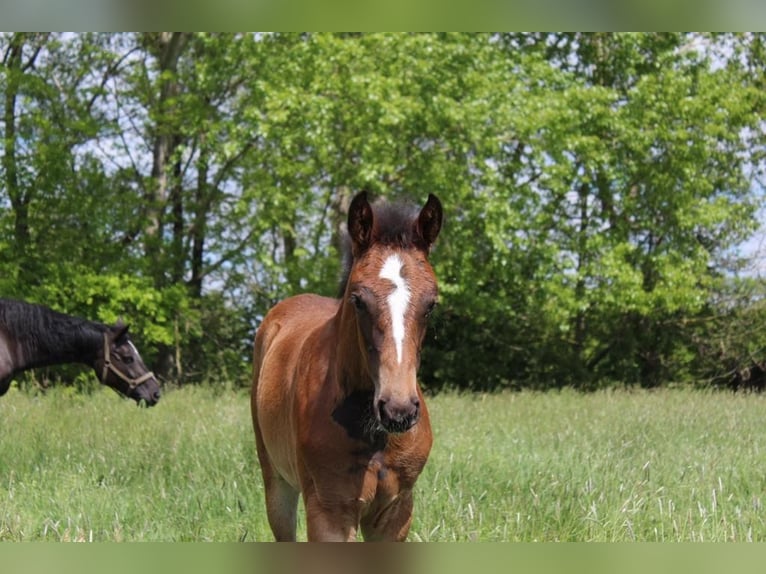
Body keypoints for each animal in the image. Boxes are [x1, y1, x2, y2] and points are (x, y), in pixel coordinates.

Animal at [251, 191, 443, 541]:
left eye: (431, 304)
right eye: (358, 300)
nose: (398, 410)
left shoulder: (396, 512)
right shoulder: (330, 510)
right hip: (276, 481)